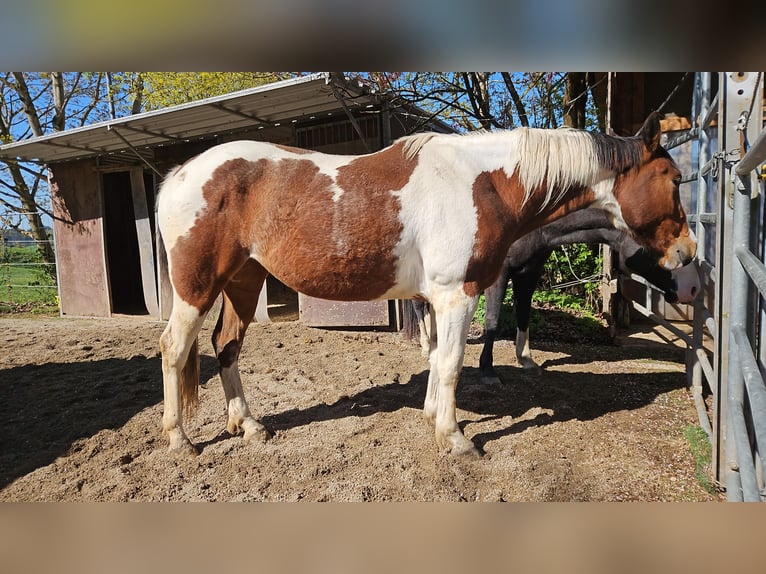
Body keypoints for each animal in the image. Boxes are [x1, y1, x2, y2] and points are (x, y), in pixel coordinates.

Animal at [402, 207, 701, 383]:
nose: (693, 288)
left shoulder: (528, 273)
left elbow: (524, 314)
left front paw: (526, 360)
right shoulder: (499, 276)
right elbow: (493, 321)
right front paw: (488, 371)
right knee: (418, 309)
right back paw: (427, 347)